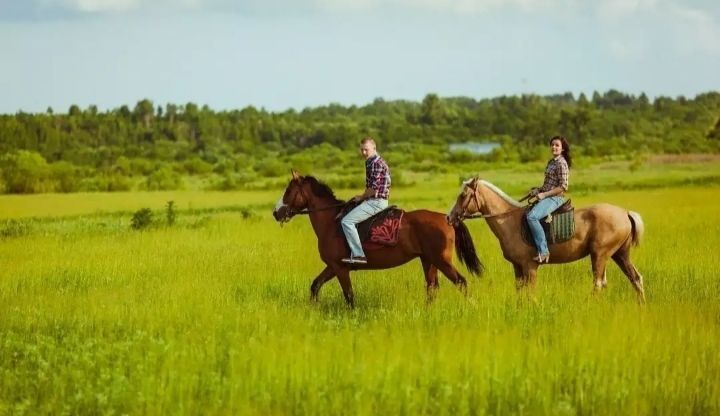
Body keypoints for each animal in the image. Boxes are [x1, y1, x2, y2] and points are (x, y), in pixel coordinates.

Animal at [272, 171, 480, 308]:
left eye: (288, 191)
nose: (276, 213)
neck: (331, 221)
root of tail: (448, 219)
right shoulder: (333, 266)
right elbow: (315, 285)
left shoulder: (340, 268)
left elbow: (349, 296)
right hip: (428, 261)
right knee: (432, 288)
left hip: (441, 261)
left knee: (461, 282)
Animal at [444, 177, 648, 300]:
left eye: (463, 195)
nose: (449, 217)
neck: (509, 220)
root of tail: (625, 213)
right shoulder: (517, 267)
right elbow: (520, 292)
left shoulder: (530, 266)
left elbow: (531, 293)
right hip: (620, 254)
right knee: (636, 279)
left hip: (600, 255)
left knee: (599, 283)